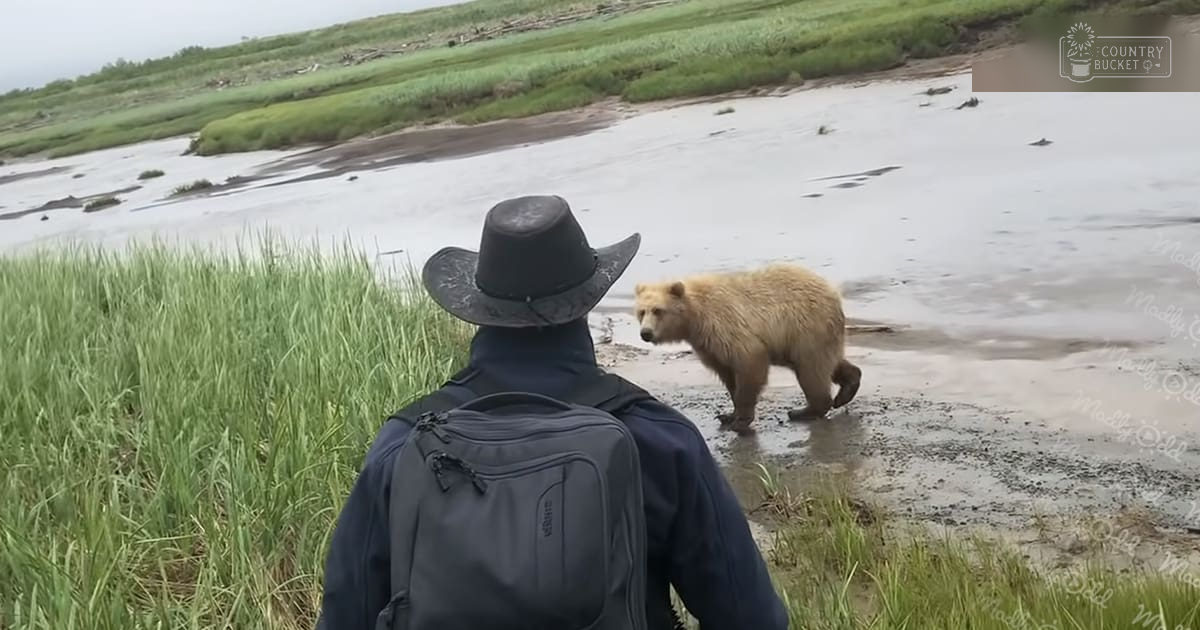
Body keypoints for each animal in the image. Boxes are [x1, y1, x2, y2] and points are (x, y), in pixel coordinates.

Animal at [633, 263, 861, 435]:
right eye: (641, 311)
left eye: (658, 310)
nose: (645, 333)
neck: (694, 318)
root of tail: (834, 293)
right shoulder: (708, 346)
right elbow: (728, 375)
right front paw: (728, 414)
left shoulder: (726, 327)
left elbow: (749, 364)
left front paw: (740, 420)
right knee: (826, 363)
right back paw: (847, 387)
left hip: (806, 327)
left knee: (811, 370)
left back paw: (804, 411)